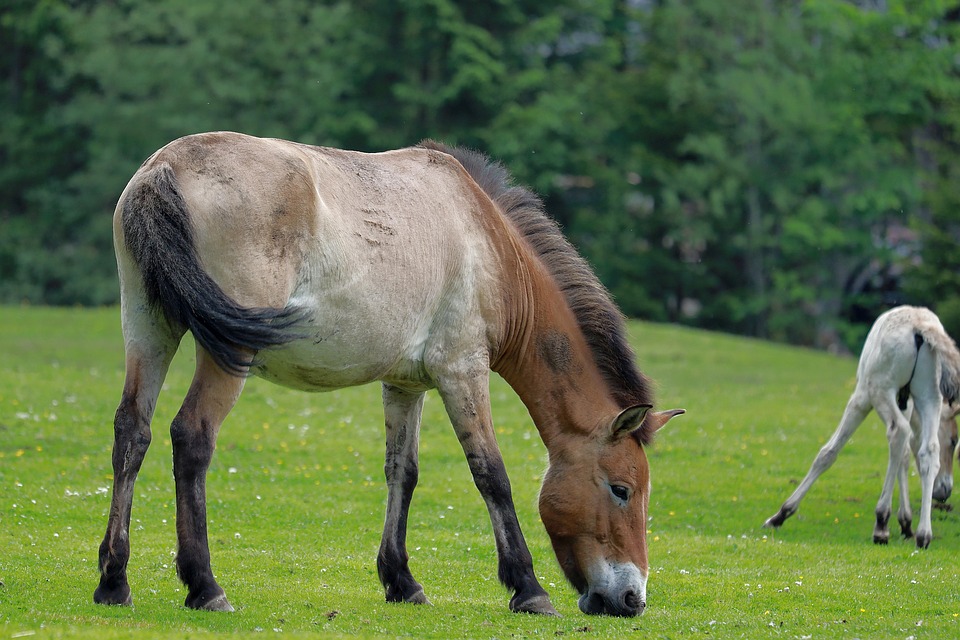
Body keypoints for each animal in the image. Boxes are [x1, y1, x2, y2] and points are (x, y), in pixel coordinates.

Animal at [93, 131, 684, 617]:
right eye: (622, 490)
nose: (632, 599)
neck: (486, 241)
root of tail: (165, 168)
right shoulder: (461, 371)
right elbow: (491, 473)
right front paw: (528, 589)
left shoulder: (406, 384)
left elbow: (404, 471)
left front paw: (401, 580)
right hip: (226, 352)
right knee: (191, 437)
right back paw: (205, 586)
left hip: (149, 331)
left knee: (132, 434)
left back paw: (114, 580)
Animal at [764, 305, 960, 548]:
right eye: (953, 440)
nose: (944, 490)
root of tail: (920, 326)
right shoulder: (906, 404)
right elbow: (905, 456)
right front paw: (906, 523)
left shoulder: (860, 399)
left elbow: (828, 453)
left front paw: (781, 514)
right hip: (929, 396)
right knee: (927, 450)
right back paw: (924, 535)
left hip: (877, 391)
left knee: (898, 432)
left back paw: (881, 524)